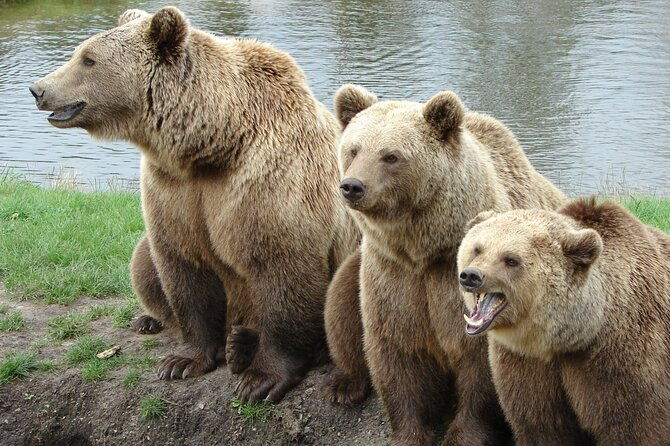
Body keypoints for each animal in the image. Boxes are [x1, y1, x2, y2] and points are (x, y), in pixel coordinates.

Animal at [29, 7, 359, 403]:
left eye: (88, 59)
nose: (38, 89)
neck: (212, 145)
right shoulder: (174, 190)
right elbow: (183, 266)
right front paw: (182, 361)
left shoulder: (269, 182)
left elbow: (281, 267)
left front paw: (261, 379)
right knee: (143, 261)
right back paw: (159, 322)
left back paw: (244, 345)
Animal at [323, 84, 566, 445]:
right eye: (353, 150)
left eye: (391, 155)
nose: (352, 186)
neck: (424, 249)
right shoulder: (392, 274)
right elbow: (396, 353)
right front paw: (409, 433)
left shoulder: (456, 282)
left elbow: (479, 365)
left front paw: (462, 433)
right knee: (339, 301)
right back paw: (343, 385)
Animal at [456, 199, 670, 445]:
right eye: (477, 249)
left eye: (511, 259)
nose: (471, 276)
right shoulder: (527, 363)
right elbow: (541, 425)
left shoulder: (625, 355)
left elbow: (636, 425)